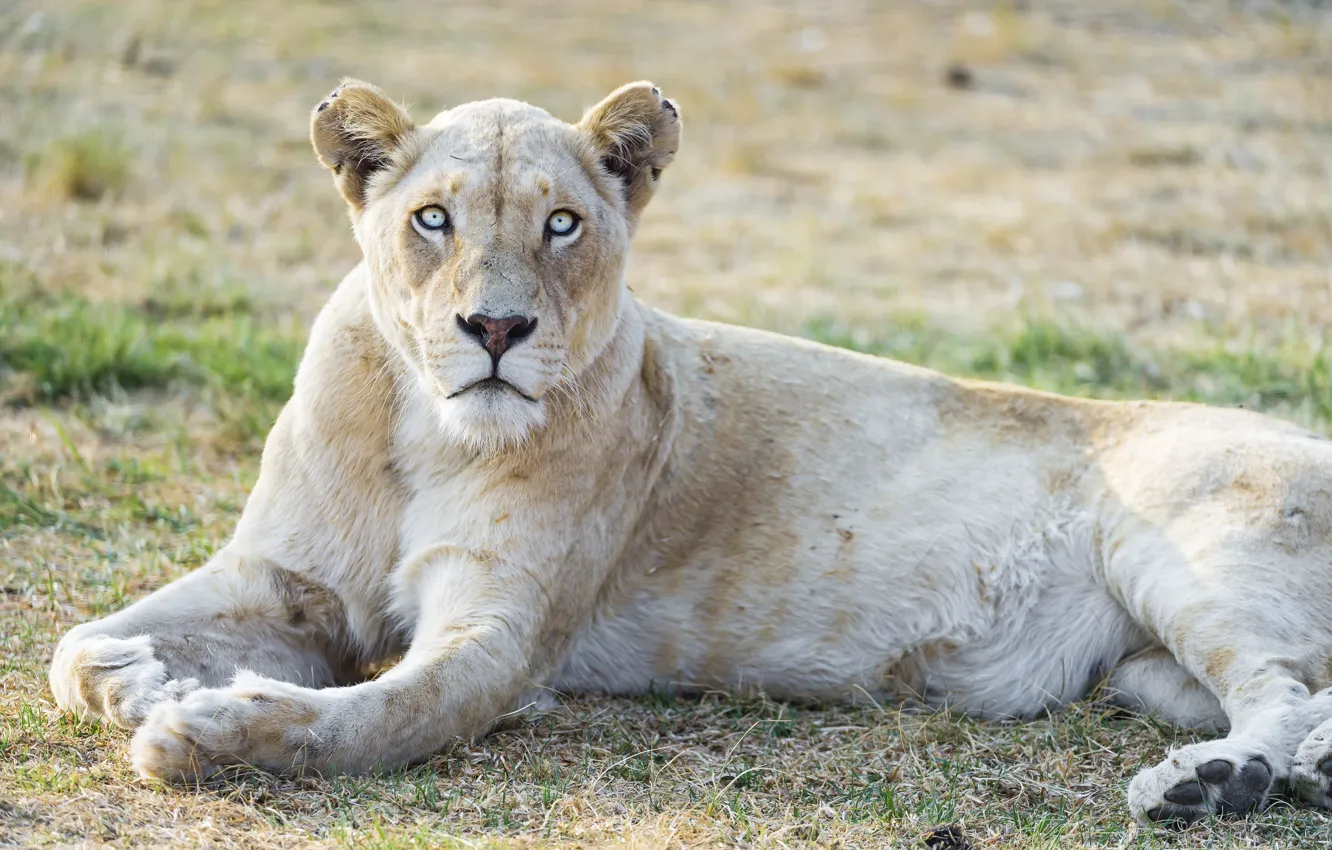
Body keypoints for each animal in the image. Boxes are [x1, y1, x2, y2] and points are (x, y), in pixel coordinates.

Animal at [48, 79, 1332, 826]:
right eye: (433, 219)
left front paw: (208, 729)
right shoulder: (288, 579)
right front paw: (139, 672)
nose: (496, 329)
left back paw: (1218, 783)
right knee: (1304, 695)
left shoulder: (502, 636)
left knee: (1277, 687)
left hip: (1185, 555)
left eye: (562, 223)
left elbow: (377, 716)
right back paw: (1274, 775)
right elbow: (74, 648)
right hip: (1143, 669)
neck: (424, 429)